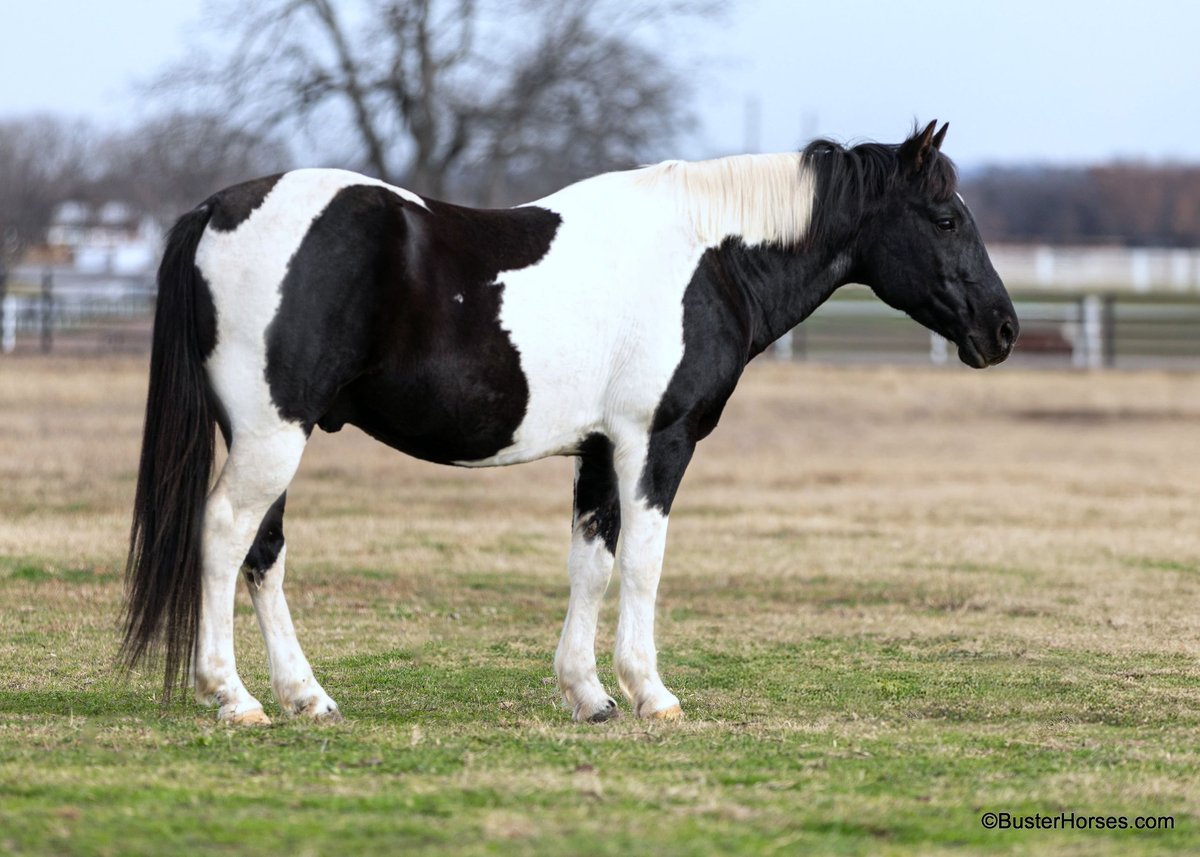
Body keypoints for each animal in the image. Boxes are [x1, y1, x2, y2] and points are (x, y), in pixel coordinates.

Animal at [121, 120, 1018, 725]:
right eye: (945, 219)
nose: (1002, 329)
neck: (711, 255)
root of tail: (216, 208)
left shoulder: (597, 450)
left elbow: (591, 561)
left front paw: (588, 694)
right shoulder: (656, 442)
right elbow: (644, 563)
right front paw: (651, 692)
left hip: (272, 437)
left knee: (263, 551)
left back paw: (305, 695)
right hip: (271, 437)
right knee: (225, 534)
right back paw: (233, 695)